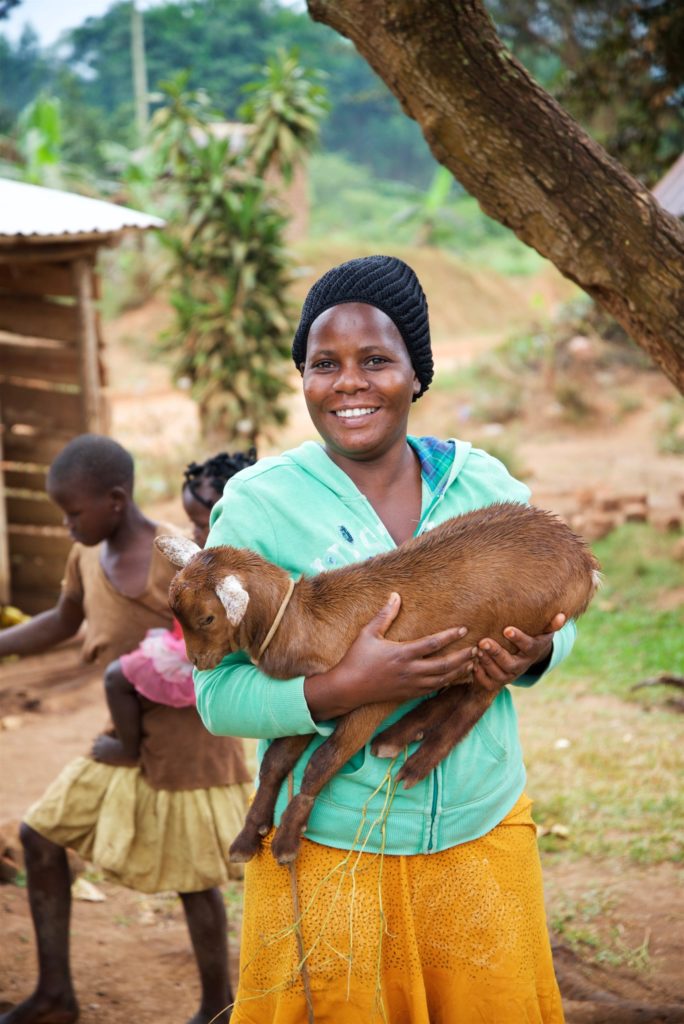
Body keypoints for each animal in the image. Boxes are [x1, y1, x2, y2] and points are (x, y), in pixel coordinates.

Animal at [154, 501, 597, 864]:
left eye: (207, 617)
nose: (198, 661)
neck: (304, 619)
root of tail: (586, 564)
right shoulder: (314, 696)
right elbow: (275, 761)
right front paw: (249, 837)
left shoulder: (375, 695)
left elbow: (323, 761)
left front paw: (286, 842)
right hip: (478, 644)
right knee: (459, 685)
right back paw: (400, 735)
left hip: (517, 629)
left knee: (479, 696)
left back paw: (416, 762)